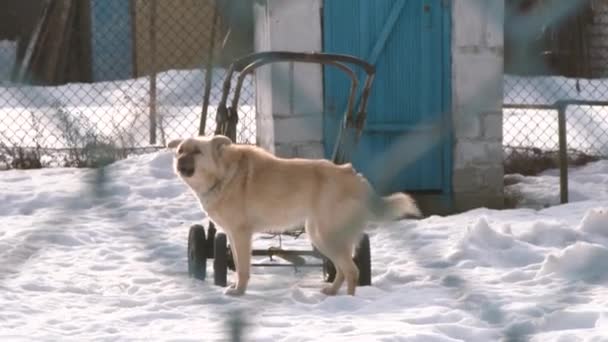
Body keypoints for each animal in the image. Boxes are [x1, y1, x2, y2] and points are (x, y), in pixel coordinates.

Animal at [169, 135, 420, 296]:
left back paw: (349, 304)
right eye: (180, 150)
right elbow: (238, 263)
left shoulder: (241, 235)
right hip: (321, 236)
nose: (179, 162)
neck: (222, 174)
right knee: (342, 269)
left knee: (351, 270)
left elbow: (242, 268)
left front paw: (239, 291)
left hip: (325, 236)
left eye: (197, 152)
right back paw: (331, 291)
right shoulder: (231, 234)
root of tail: (354, 176)